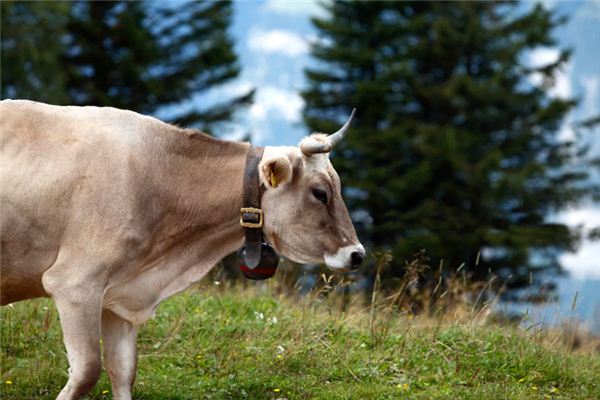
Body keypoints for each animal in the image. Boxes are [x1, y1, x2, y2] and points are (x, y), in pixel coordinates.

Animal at [0, 100, 366, 400]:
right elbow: (88, 371)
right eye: (320, 193)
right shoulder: (75, 284)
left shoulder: (118, 298)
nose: (357, 254)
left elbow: (123, 374)